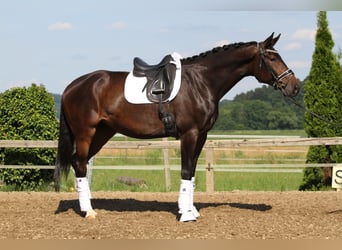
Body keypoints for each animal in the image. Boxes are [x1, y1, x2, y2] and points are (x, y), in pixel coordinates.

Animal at [54, 32, 300, 221]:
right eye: (271, 57)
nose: (295, 86)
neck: (201, 82)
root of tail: (71, 86)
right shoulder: (189, 134)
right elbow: (185, 171)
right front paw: (186, 215)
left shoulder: (201, 135)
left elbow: (191, 173)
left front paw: (190, 209)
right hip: (85, 133)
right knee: (81, 164)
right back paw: (89, 212)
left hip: (103, 132)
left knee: (78, 162)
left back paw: (88, 206)